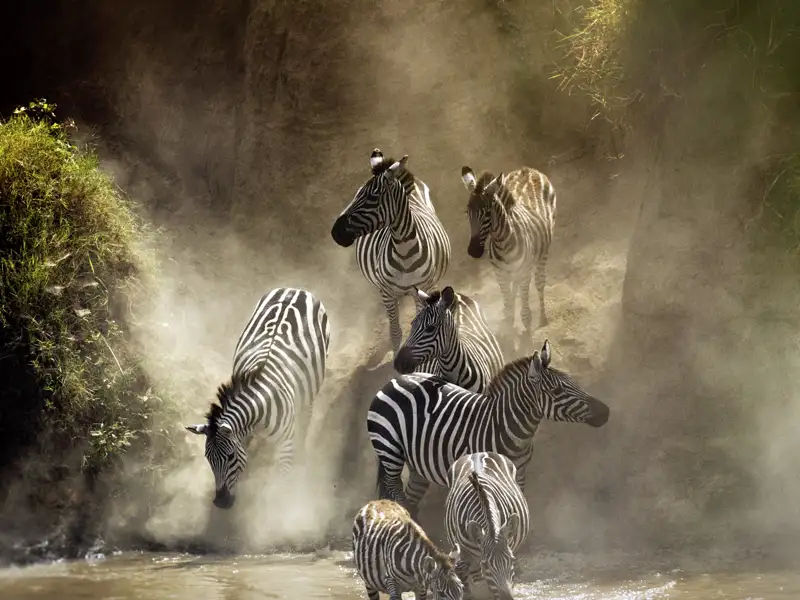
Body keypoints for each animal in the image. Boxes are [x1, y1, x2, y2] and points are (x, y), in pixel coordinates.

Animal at [184, 287, 330, 509]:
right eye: (208, 459)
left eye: (230, 456)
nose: (220, 503)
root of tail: (296, 289)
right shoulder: (241, 435)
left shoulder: (285, 444)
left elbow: (282, 481)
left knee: (306, 417)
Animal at [331, 149, 451, 358]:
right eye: (356, 195)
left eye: (372, 197)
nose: (335, 233)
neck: (405, 252)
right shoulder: (387, 292)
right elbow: (395, 332)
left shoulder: (423, 288)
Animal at [367, 338, 609, 517]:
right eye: (558, 391)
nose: (605, 411)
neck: (512, 431)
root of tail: (395, 380)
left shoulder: (519, 472)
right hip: (389, 450)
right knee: (395, 489)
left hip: (418, 460)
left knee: (411, 496)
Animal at [461, 165, 557, 334]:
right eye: (468, 212)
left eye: (487, 212)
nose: (473, 251)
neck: (502, 244)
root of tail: (527, 169)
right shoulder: (500, 274)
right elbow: (508, 302)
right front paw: (508, 324)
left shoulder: (524, 272)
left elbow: (525, 313)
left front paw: (526, 331)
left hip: (543, 252)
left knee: (539, 282)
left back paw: (543, 318)